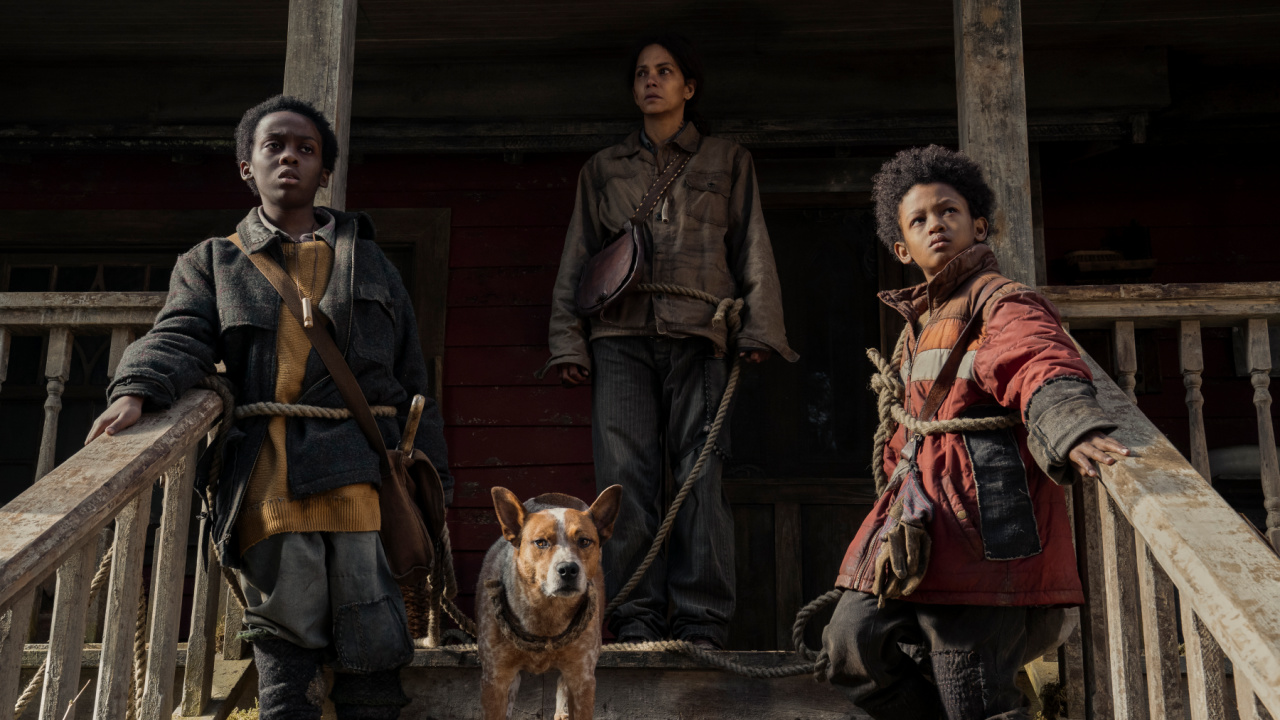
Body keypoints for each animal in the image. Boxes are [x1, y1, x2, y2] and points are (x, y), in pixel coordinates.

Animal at [478, 481, 622, 717]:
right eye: (541, 543)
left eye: (584, 541)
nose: (568, 569)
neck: (546, 614)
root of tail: (556, 494)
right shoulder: (495, 679)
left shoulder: (583, 678)